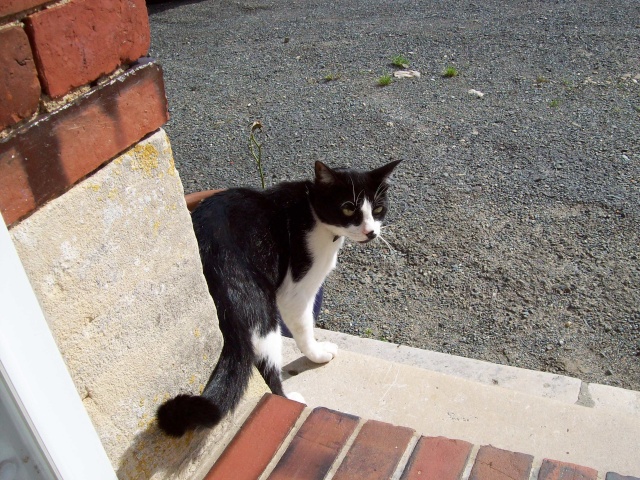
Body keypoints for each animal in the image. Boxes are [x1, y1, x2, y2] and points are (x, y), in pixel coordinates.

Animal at [158, 159, 400, 436]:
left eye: (378, 208)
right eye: (348, 209)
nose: (371, 232)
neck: (311, 209)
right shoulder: (295, 291)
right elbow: (305, 328)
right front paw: (317, 353)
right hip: (263, 308)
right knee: (267, 364)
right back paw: (289, 398)